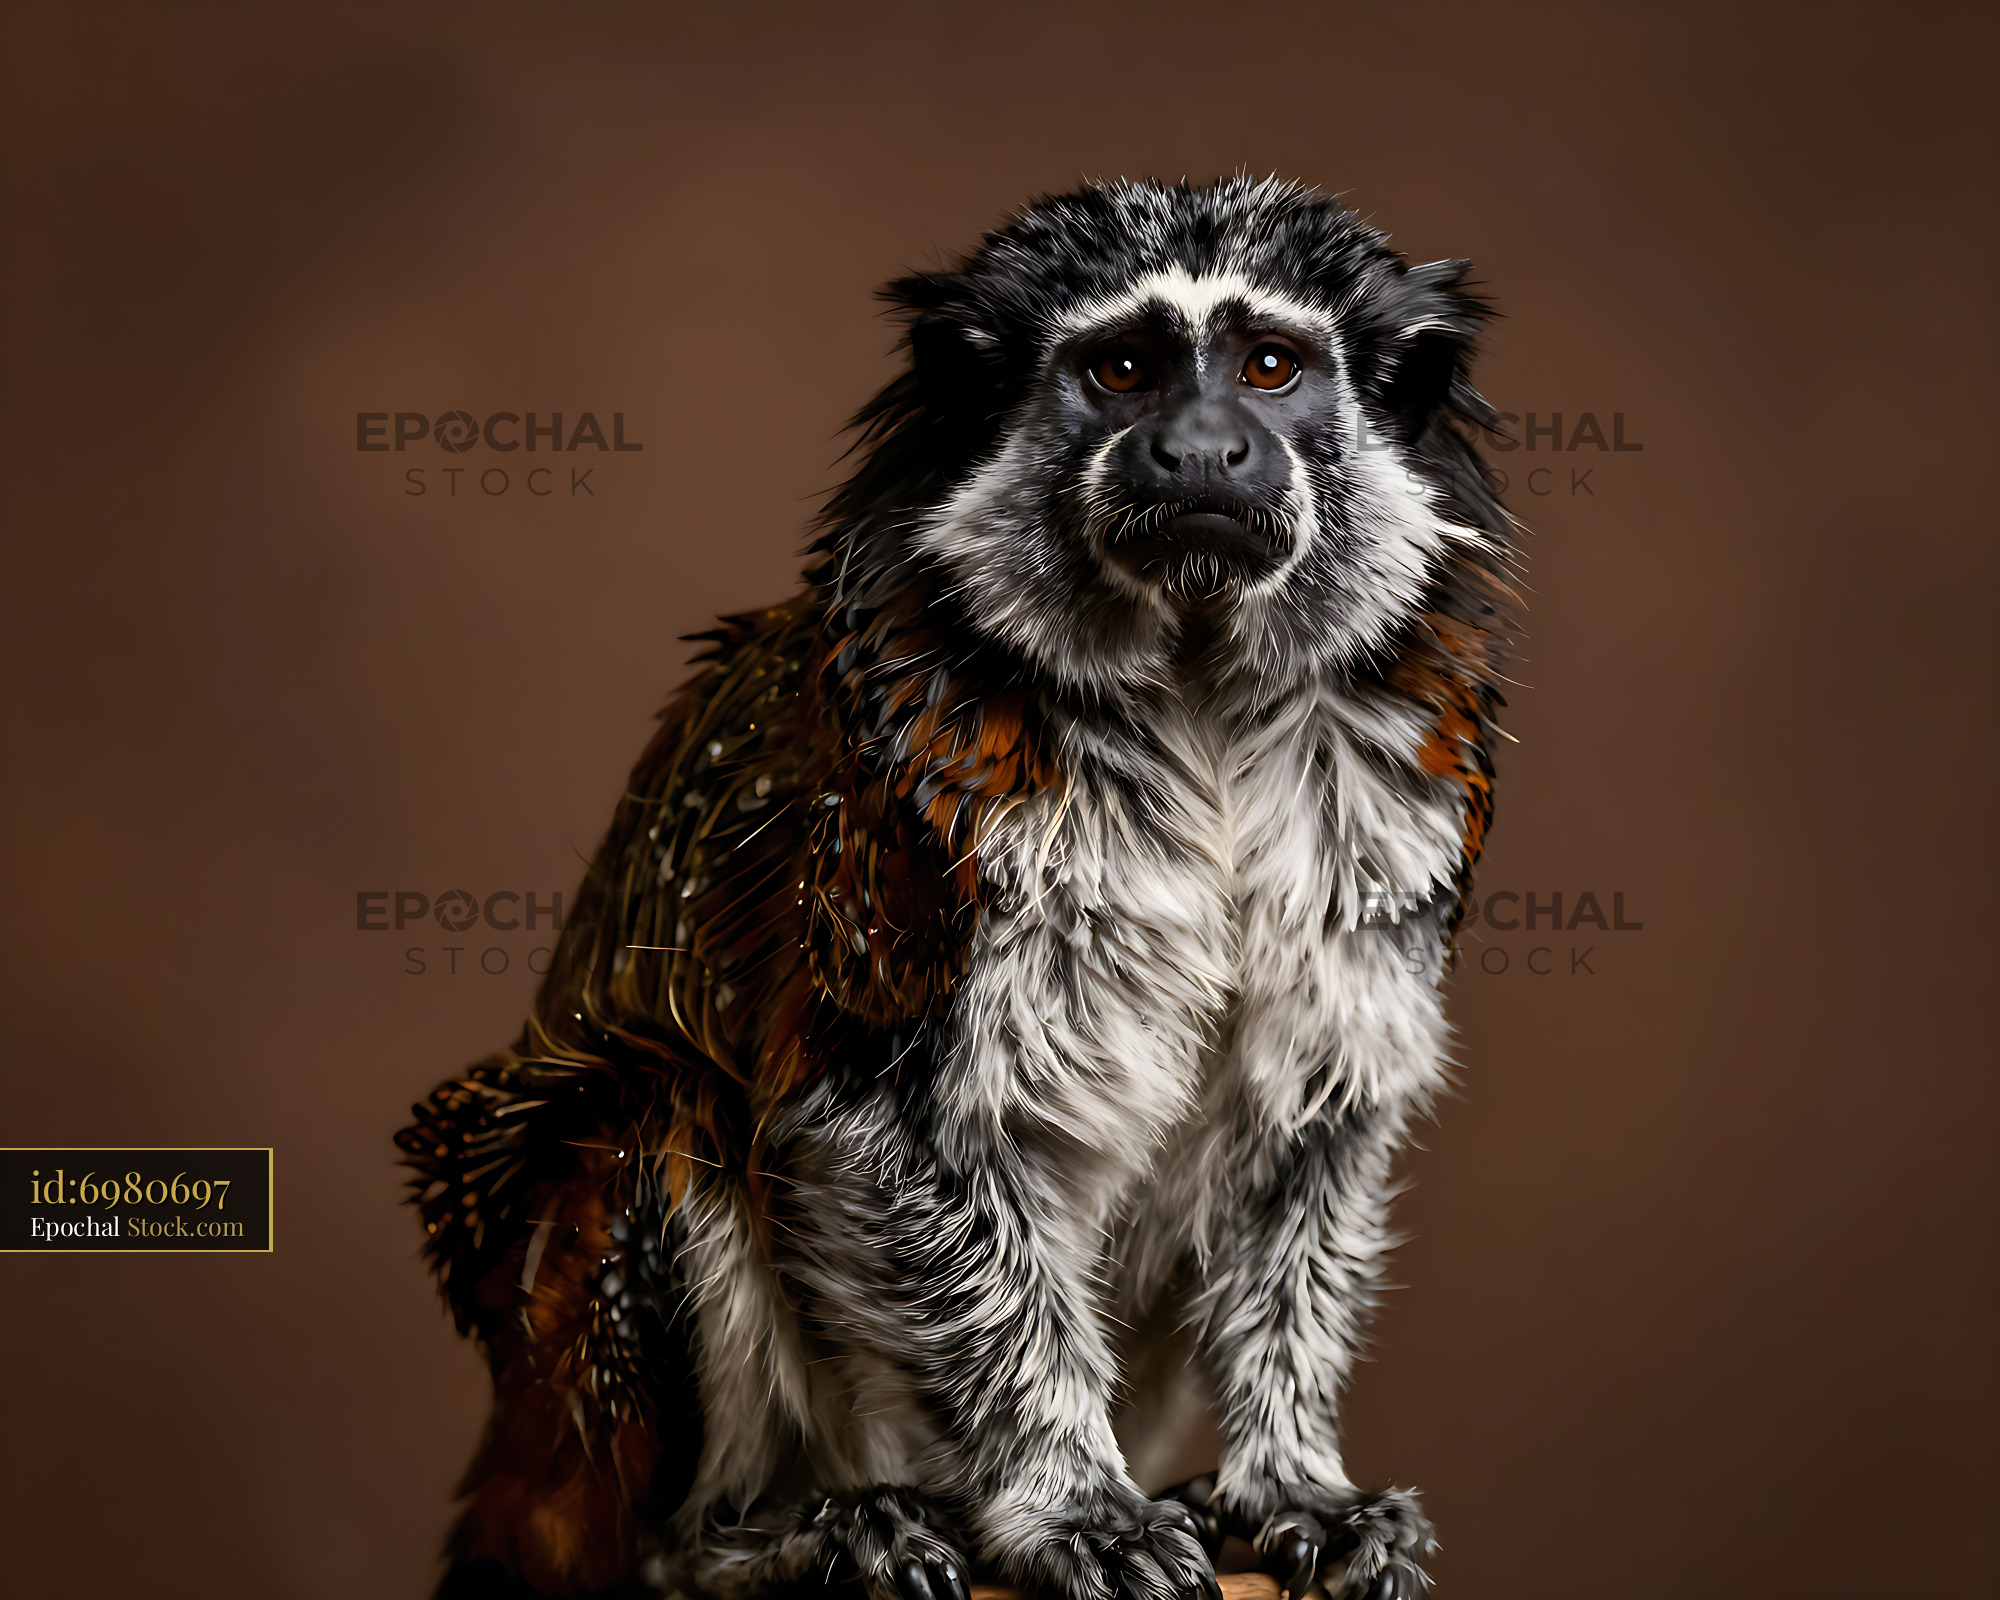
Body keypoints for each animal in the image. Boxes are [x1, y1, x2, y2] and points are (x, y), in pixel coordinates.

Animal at [398, 176, 1514, 1600]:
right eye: (1124, 369)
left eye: (1269, 367)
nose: (1201, 449)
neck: (1198, 706)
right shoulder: (915, 846)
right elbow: (894, 1140)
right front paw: (1068, 1502)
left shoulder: (1392, 827)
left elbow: (1311, 1136)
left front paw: (1285, 1482)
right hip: (564, 1427)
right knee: (648, 1113)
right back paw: (763, 1537)